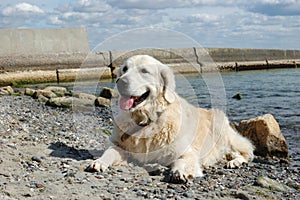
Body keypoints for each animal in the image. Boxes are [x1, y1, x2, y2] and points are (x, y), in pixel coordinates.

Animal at [88, 54, 254, 183]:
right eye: (124, 69)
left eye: (144, 71)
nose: (120, 82)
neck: (146, 120)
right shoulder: (119, 145)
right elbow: (110, 152)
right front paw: (99, 162)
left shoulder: (185, 151)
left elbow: (183, 160)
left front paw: (181, 172)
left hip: (222, 130)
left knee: (246, 152)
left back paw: (234, 162)